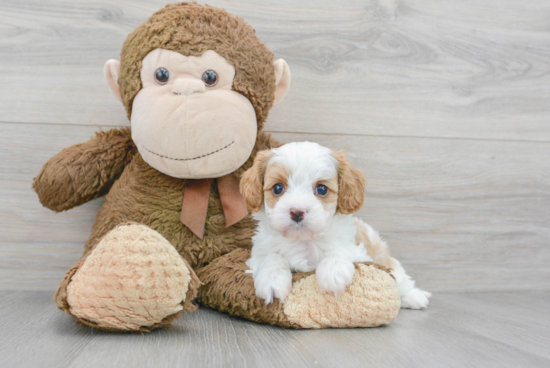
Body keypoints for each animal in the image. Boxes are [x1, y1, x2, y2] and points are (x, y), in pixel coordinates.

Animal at [240, 141, 432, 308]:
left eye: (321, 189)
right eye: (278, 188)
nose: (297, 212)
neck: (304, 241)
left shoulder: (357, 250)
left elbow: (339, 250)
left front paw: (333, 272)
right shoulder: (259, 252)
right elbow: (271, 257)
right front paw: (272, 279)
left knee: (401, 277)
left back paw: (414, 297)